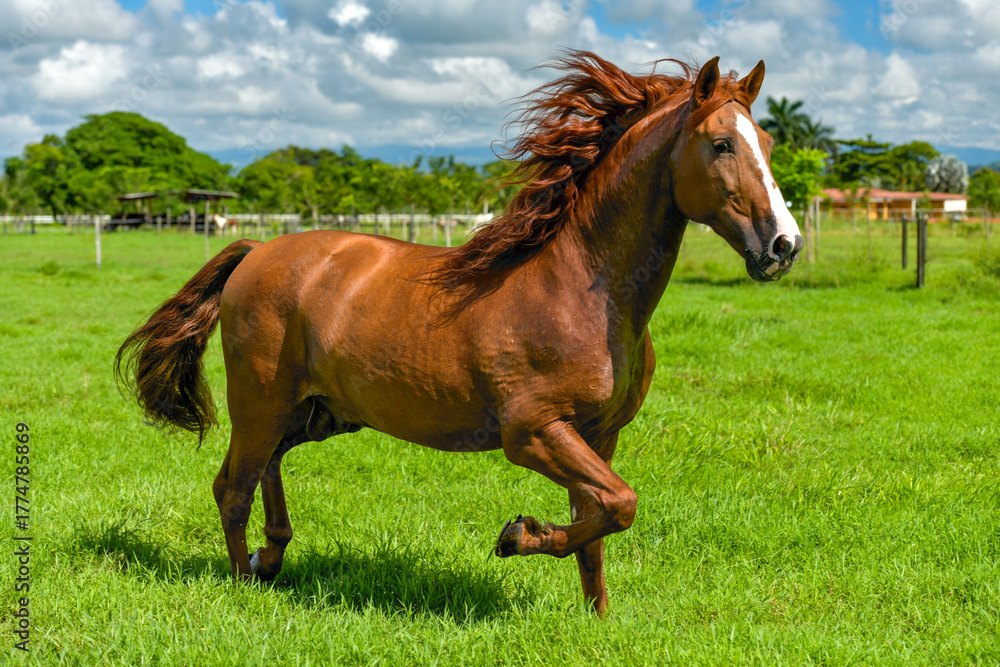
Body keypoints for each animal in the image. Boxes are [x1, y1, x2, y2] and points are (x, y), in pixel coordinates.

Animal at [116, 50, 802, 616]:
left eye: (767, 141)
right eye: (721, 144)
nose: (784, 245)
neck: (583, 291)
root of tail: (256, 251)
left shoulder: (600, 437)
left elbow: (600, 522)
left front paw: (597, 618)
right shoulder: (532, 433)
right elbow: (619, 505)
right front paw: (517, 535)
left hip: (316, 411)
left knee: (265, 468)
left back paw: (272, 556)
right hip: (261, 401)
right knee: (232, 486)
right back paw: (243, 582)